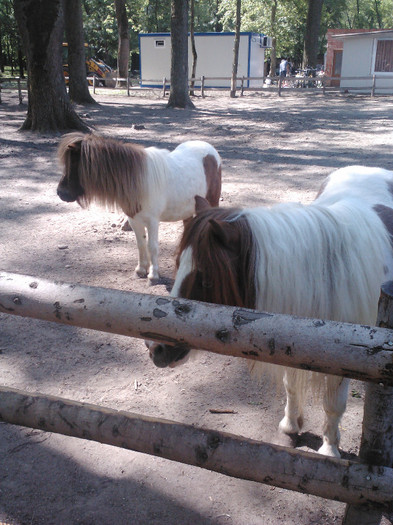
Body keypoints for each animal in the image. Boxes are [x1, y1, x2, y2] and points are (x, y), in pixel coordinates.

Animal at [56, 134, 220, 282]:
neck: (138, 181)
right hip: (187, 210)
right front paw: (141, 270)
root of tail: (210, 150)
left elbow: (152, 246)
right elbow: (141, 244)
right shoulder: (134, 219)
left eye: (74, 164)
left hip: (211, 202)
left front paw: (153, 275)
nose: (60, 192)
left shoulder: (153, 221)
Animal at [145, 166, 392, 456]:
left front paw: (329, 449)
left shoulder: (347, 358)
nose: (154, 347)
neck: (326, 274)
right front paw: (290, 425)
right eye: (177, 265)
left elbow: (333, 405)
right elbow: (291, 386)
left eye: (207, 280)